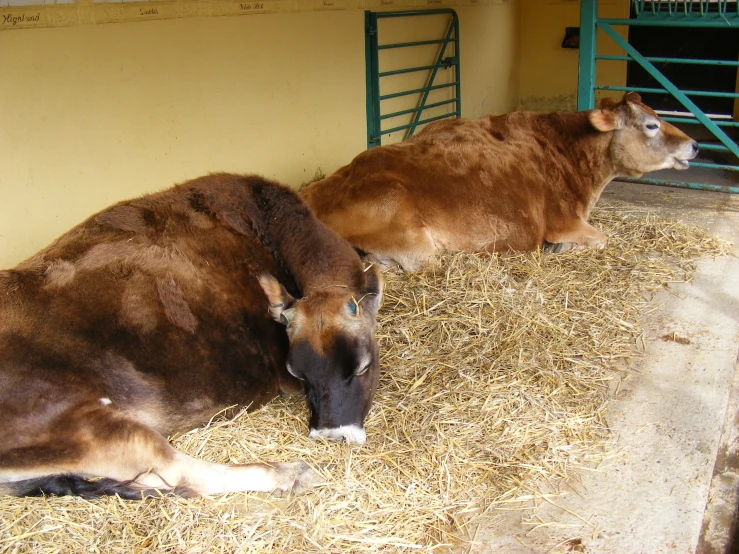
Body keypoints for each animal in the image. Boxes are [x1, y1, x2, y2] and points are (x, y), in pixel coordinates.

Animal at [0, 171, 382, 496]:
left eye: (363, 365)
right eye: (296, 372)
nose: (332, 436)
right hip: (79, 424)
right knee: (178, 471)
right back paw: (291, 474)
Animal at [300, 91, 700, 268]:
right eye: (651, 125)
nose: (695, 144)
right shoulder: (562, 221)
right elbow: (601, 239)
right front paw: (559, 249)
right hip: (417, 243)